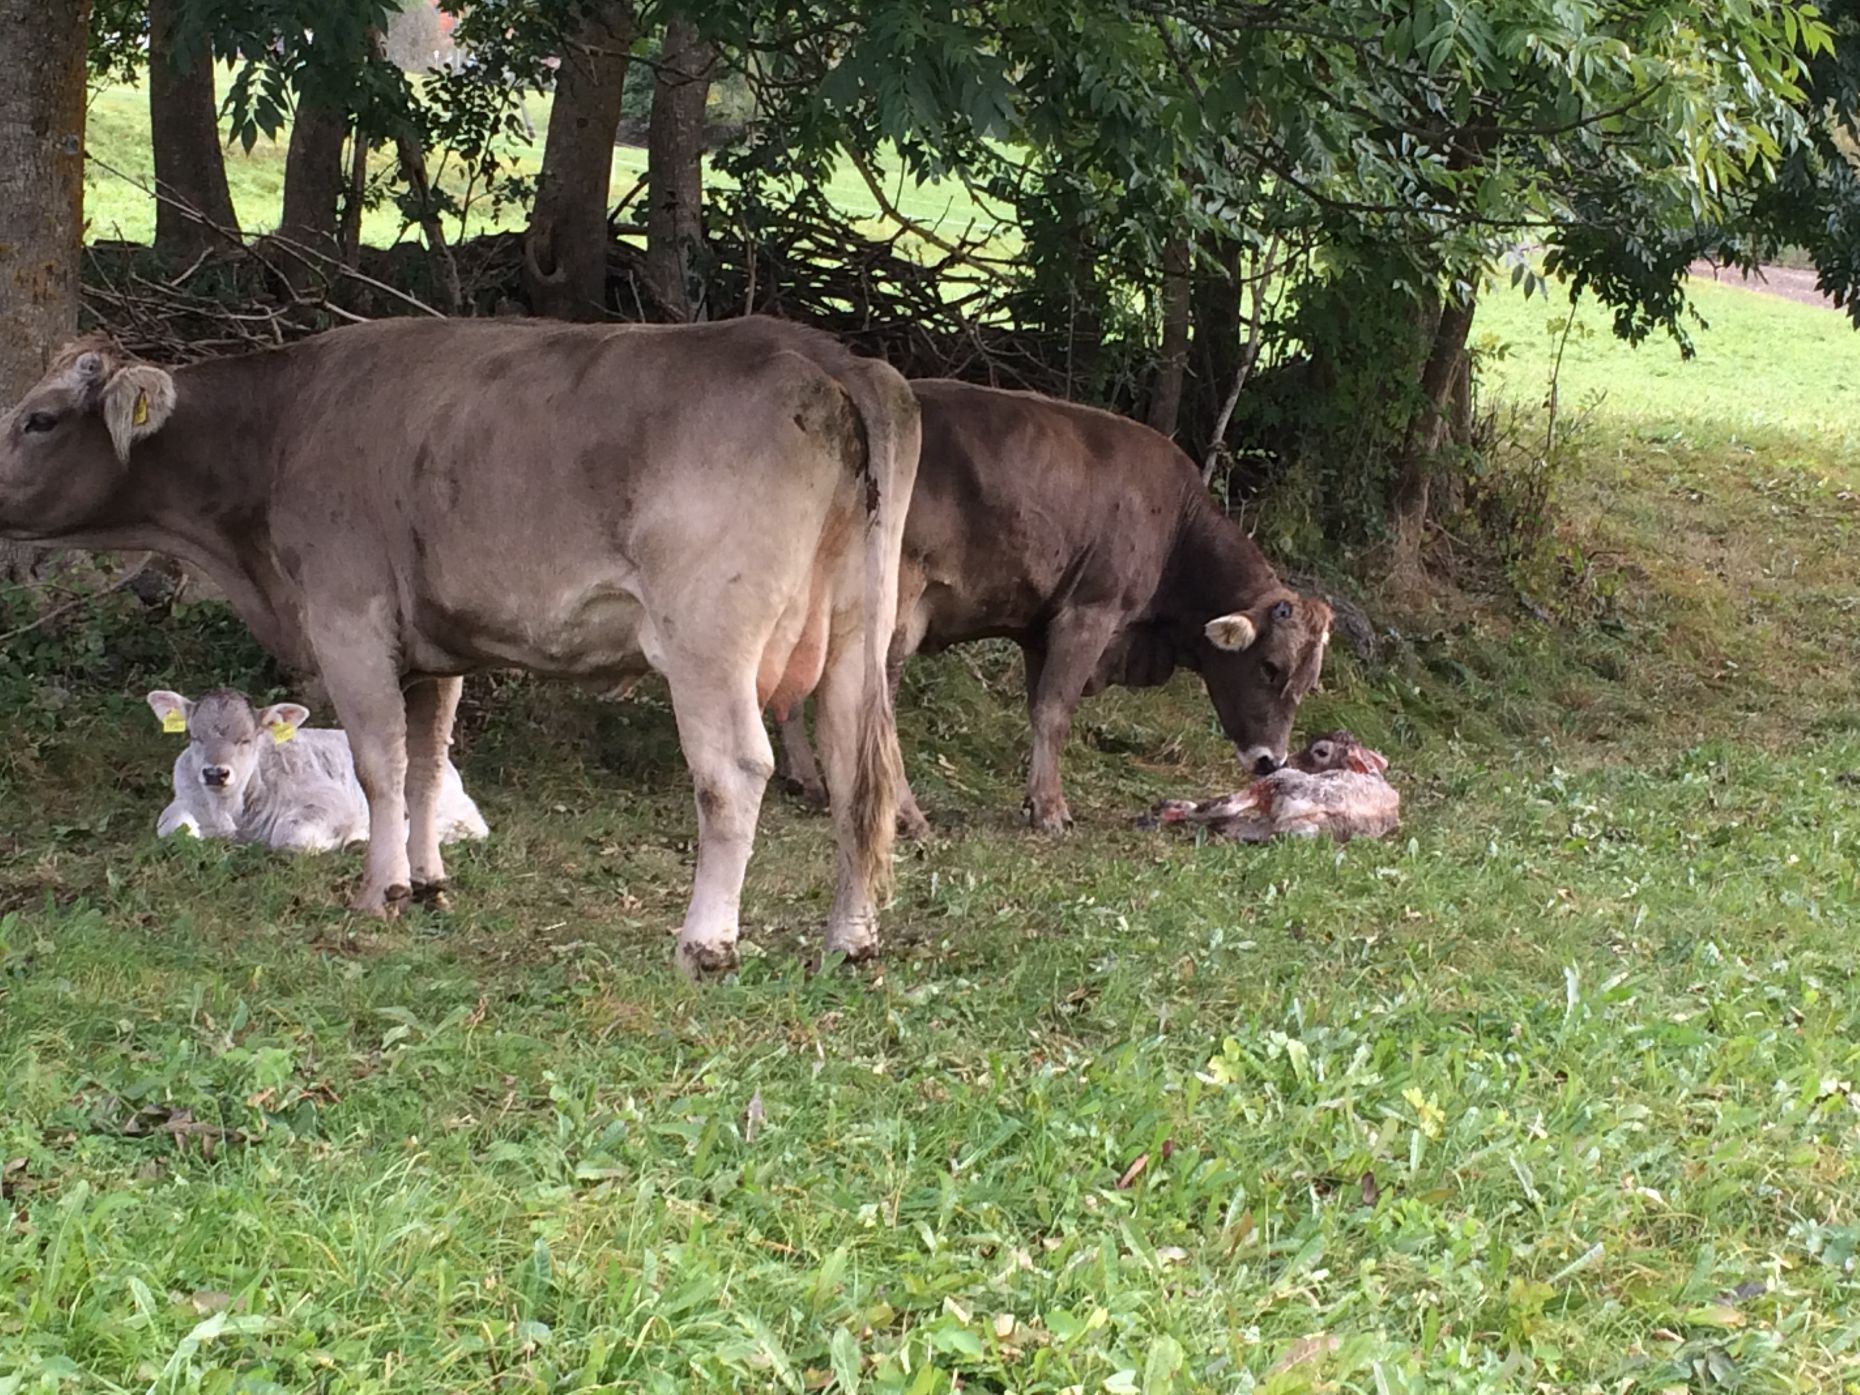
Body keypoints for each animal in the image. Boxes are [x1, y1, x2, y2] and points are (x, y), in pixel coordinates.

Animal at [149, 687, 489, 854]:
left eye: (246, 739)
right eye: (195, 736)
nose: (215, 773)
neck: (233, 814)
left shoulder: (332, 803)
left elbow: (291, 836)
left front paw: (344, 840)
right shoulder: (182, 800)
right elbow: (174, 828)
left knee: (466, 826)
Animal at [778, 379, 1332, 834]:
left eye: (1307, 683)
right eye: (1269, 667)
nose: (1271, 761)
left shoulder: (1038, 631)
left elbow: (1038, 706)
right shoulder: (1089, 612)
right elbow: (1055, 710)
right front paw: (1050, 809)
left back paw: (806, 780)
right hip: (896, 594)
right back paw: (905, 813)